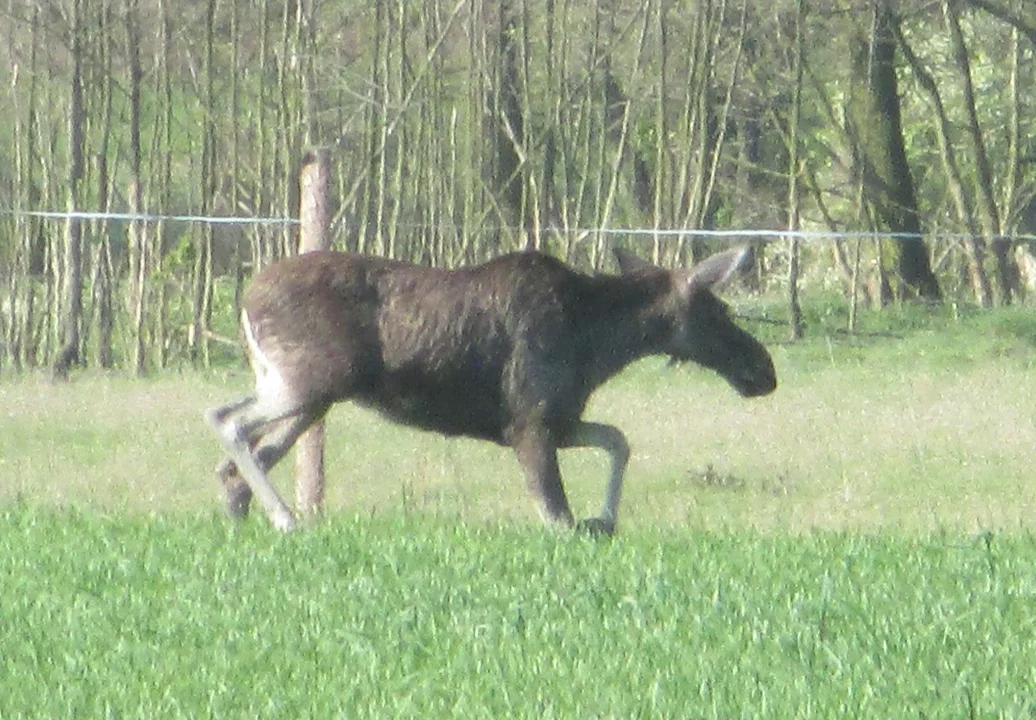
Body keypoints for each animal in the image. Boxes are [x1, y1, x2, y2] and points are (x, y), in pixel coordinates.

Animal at [204, 245, 779, 530]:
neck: (599, 342)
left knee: (239, 462)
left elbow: (618, 439)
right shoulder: (531, 421)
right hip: (310, 382)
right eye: (718, 310)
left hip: (310, 396)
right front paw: (592, 520)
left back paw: (244, 520)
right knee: (225, 420)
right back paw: (285, 519)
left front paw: (605, 519)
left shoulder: (554, 419)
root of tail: (245, 302)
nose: (764, 370)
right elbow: (556, 515)